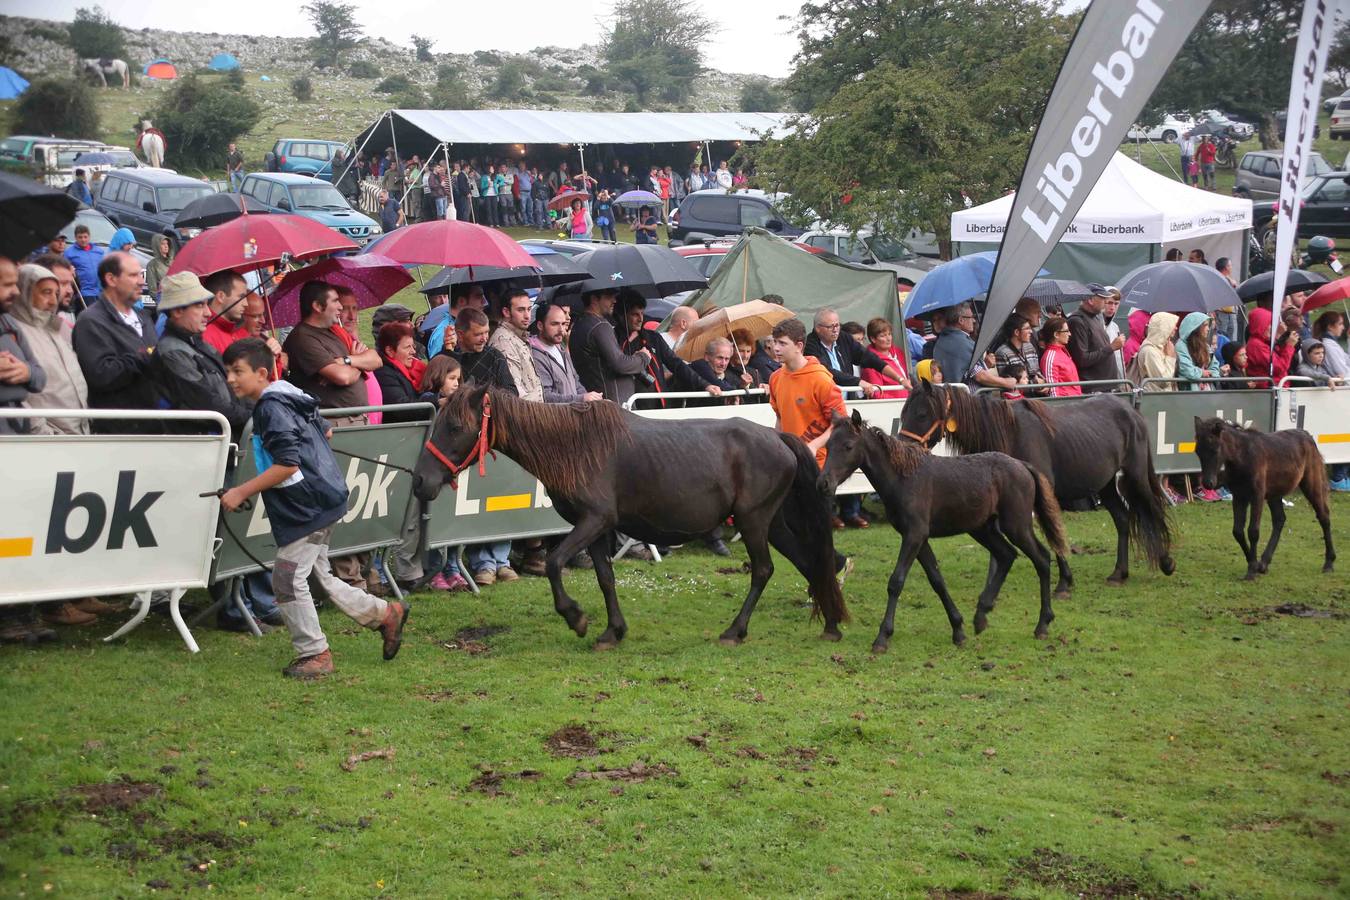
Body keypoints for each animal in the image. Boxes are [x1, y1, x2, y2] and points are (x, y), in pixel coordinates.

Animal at [415, 385, 847, 647]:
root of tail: (777, 437)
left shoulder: (594, 521)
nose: (421, 482)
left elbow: (555, 563)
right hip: (769, 523)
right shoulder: (597, 529)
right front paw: (612, 630)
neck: (576, 446)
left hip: (754, 522)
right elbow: (605, 578)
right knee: (808, 562)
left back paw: (735, 630)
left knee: (763, 570)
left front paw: (575, 617)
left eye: (455, 426)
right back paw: (830, 624)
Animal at [815, 412, 1069, 650]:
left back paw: (1042, 624)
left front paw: (882, 637)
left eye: (848, 446)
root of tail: (1023, 466)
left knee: (1041, 559)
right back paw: (981, 616)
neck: (904, 477)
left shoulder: (914, 535)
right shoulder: (918, 538)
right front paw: (958, 630)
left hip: (1016, 525)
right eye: (828, 445)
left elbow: (896, 581)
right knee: (1007, 555)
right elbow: (937, 580)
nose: (823, 483)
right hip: (982, 529)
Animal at [896, 380, 1171, 599]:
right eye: (904, 411)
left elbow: (1053, 532)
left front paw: (1063, 584)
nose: (902, 449)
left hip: (1135, 474)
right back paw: (1119, 573)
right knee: (1123, 519)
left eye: (922, 414)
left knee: (1153, 508)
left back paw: (1166, 561)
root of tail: (1130, 410)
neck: (1010, 433)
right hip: (1104, 484)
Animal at [1198, 418, 1333, 580]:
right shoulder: (1239, 496)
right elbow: (1238, 531)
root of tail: (1308, 436)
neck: (1243, 456)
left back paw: (1329, 563)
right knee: (1279, 519)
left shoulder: (1257, 496)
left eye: (1215, 450)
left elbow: (1253, 531)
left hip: (1311, 485)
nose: (1208, 483)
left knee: (1323, 516)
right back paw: (1264, 563)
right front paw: (1254, 563)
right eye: (1197, 452)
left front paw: (1251, 571)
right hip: (1275, 494)